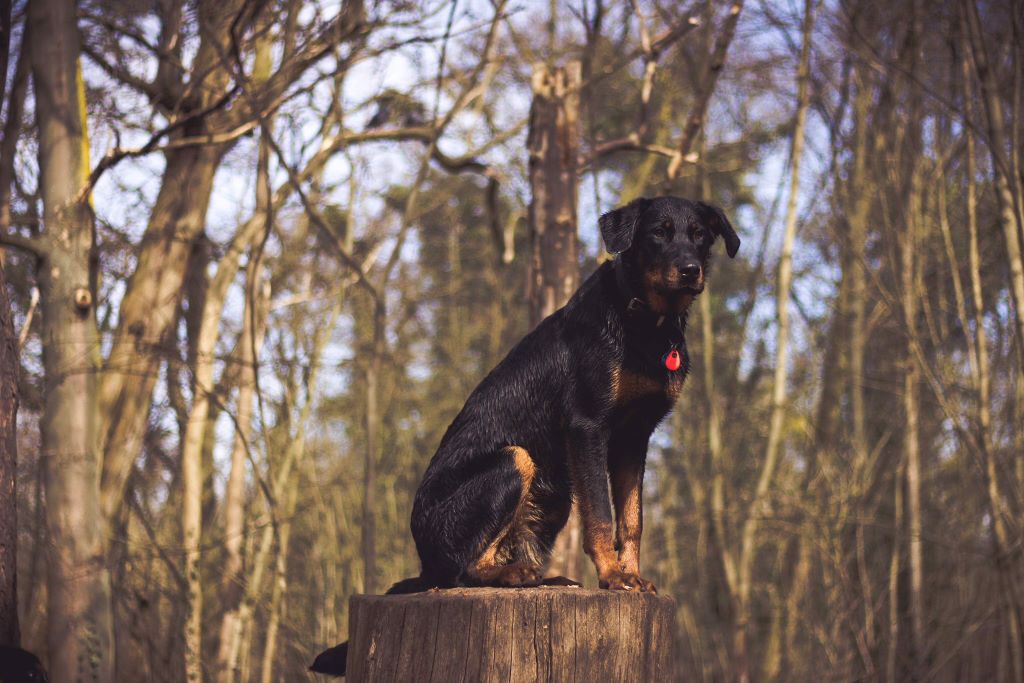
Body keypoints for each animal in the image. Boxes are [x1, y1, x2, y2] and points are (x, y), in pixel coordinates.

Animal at [311, 197, 737, 679]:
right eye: (658, 233)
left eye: (700, 234)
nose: (689, 269)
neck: (645, 319)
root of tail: (422, 563)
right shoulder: (588, 426)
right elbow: (601, 517)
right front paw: (612, 576)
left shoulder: (634, 438)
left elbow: (632, 519)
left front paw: (631, 575)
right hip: (515, 460)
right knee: (461, 571)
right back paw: (513, 576)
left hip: (553, 494)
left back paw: (544, 577)